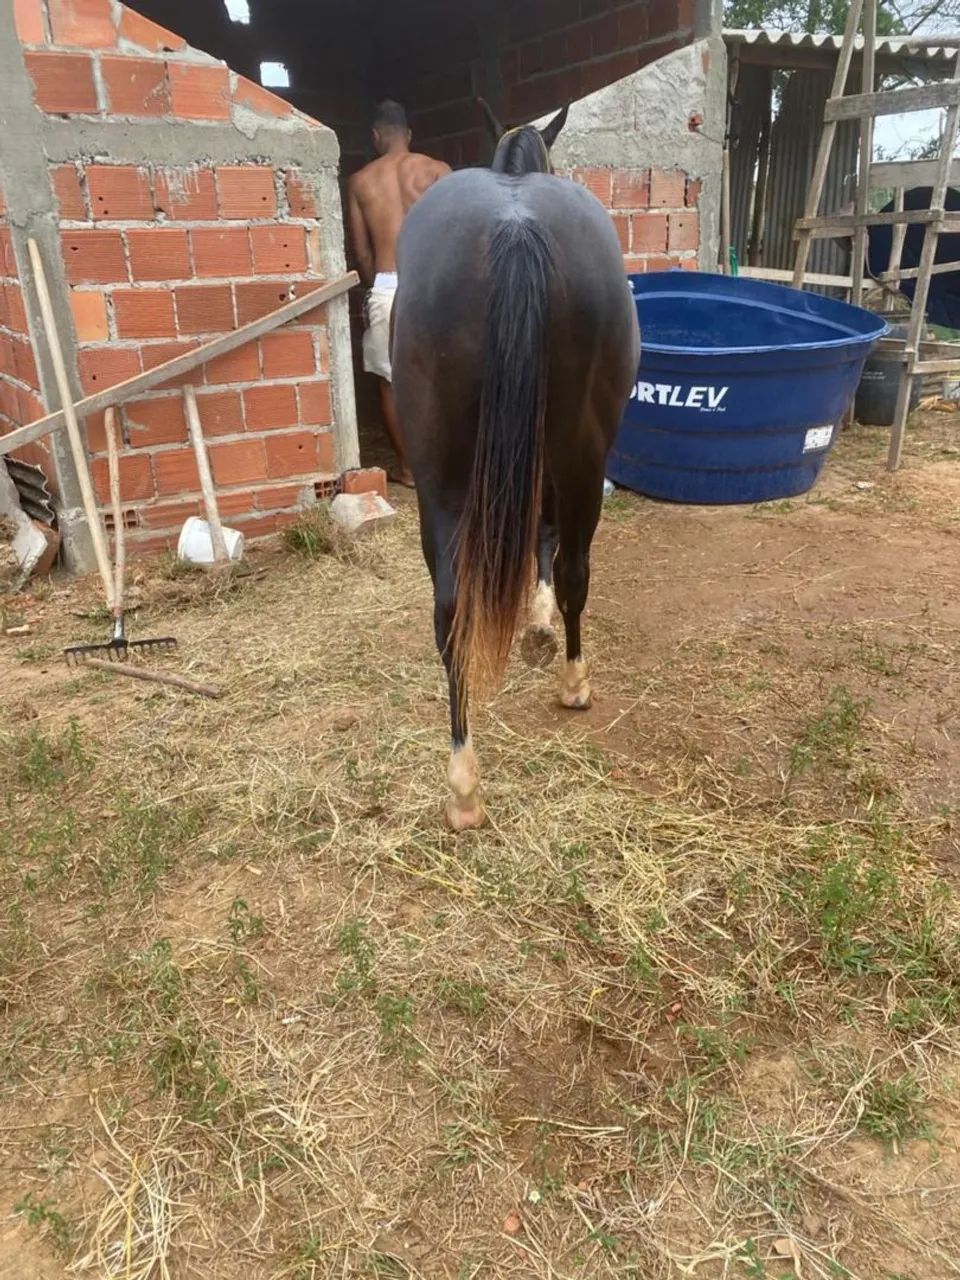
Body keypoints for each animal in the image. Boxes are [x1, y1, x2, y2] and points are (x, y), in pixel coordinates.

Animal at [391, 102, 640, 830]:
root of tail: (515, 225)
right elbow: (551, 546)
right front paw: (541, 626)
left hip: (441, 476)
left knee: (449, 612)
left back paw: (462, 783)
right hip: (583, 454)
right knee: (578, 568)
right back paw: (575, 684)